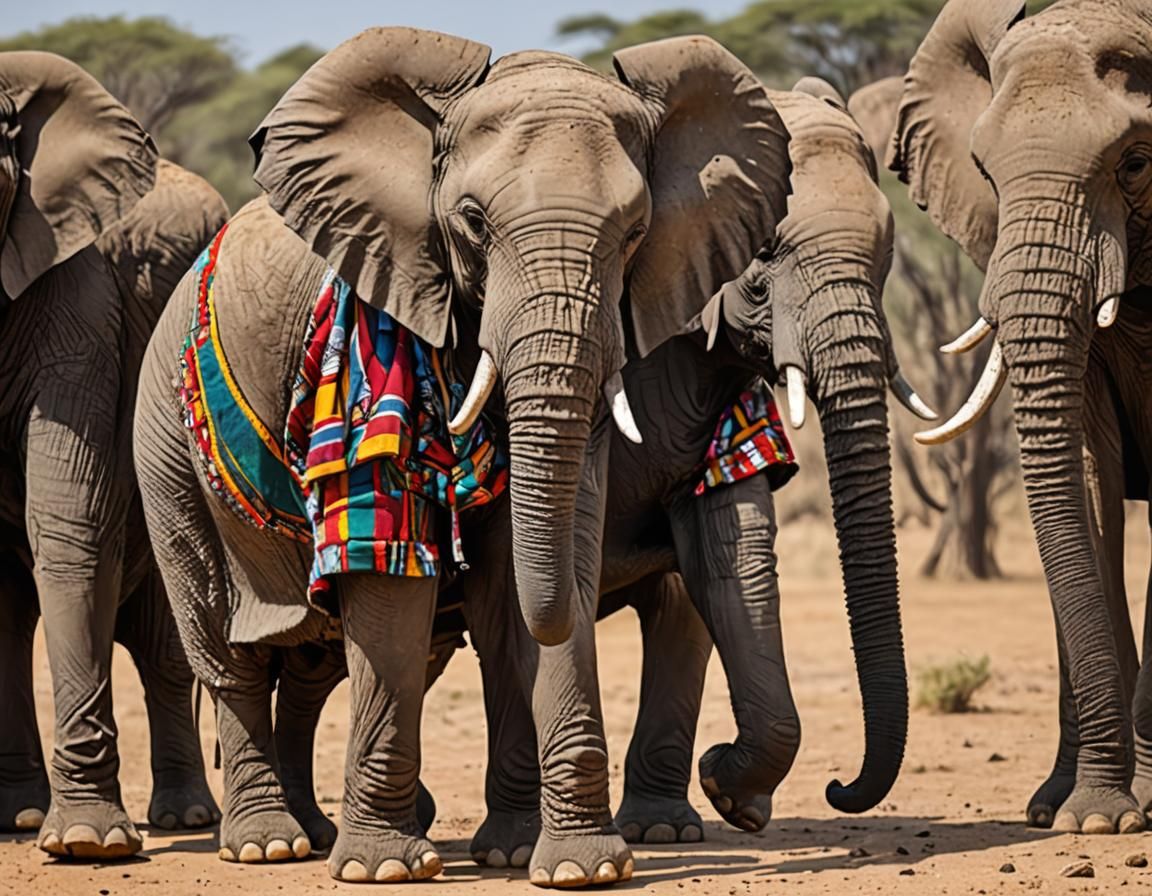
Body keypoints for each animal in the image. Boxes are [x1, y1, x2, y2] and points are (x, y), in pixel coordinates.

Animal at [0, 52, 227, 858]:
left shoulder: (77, 294)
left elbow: (71, 519)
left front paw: (86, 843)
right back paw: (19, 815)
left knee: (163, 644)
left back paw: (187, 818)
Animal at [132, 28, 793, 886]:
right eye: (474, 222)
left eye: (636, 231)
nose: (720, 770)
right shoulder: (373, 348)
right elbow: (390, 570)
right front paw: (384, 869)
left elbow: (531, 567)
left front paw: (560, 863)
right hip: (163, 438)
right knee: (224, 643)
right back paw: (266, 845)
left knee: (311, 663)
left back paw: (313, 832)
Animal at [849, 0, 1152, 834]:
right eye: (986, 173)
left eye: (1136, 163)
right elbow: (1090, 482)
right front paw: (1096, 815)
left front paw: (1130, 805)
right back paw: (1057, 805)